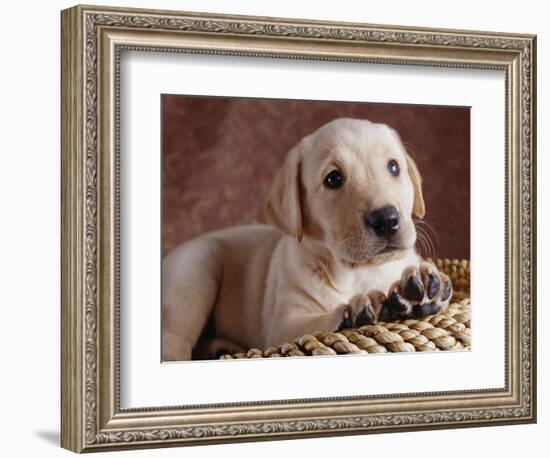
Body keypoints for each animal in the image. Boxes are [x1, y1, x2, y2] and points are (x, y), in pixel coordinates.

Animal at [162, 118, 454, 362]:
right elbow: (315, 325)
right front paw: (358, 311)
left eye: (393, 167)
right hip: (196, 271)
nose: (386, 219)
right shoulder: (283, 325)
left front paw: (424, 289)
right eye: (333, 179)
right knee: (174, 339)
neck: (359, 272)